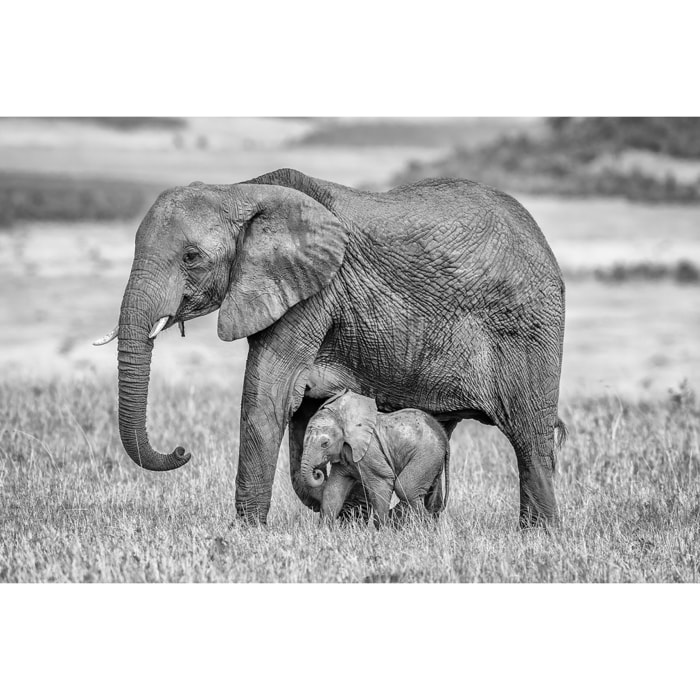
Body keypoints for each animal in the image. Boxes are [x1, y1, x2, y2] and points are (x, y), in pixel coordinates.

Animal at [300, 390, 450, 527]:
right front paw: (323, 531)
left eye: (325, 444)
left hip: (427, 453)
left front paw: (383, 532)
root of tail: (443, 434)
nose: (317, 472)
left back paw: (424, 526)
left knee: (406, 488)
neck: (344, 418)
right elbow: (333, 490)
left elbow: (381, 482)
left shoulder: (370, 453)